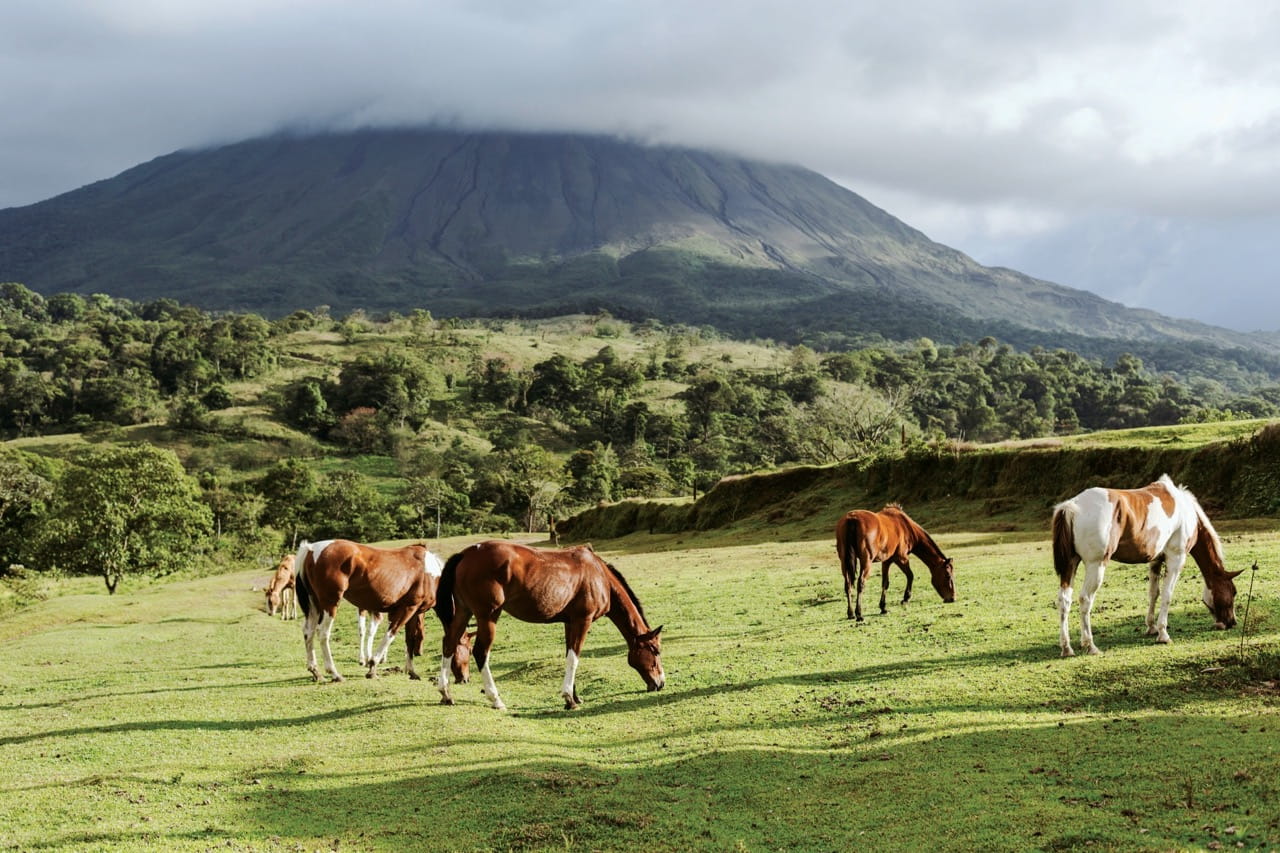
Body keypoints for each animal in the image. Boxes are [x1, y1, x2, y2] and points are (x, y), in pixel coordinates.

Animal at [294, 539, 445, 683]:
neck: (429, 573)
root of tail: (310, 549)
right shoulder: (408, 608)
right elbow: (390, 634)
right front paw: (372, 666)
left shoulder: (414, 613)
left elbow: (409, 640)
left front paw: (411, 671)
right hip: (330, 605)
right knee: (323, 633)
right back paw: (335, 674)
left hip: (315, 606)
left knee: (308, 632)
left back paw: (316, 672)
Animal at [433, 540, 664, 710]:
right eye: (655, 650)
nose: (660, 683)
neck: (599, 576)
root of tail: (467, 553)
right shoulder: (583, 621)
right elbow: (574, 658)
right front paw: (569, 698)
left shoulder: (570, 623)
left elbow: (570, 656)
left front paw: (574, 697)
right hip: (488, 616)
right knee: (481, 652)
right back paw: (496, 699)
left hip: (464, 612)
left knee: (449, 644)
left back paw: (446, 693)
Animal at [1053, 474, 1241, 657]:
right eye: (1233, 592)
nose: (1231, 622)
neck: (1187, 511)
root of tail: (1071, 506)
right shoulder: (1176, 558)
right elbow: (1167, 595)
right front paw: (1163, 634)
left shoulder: (1156, 560)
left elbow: (1154, 593)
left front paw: (1151, 627)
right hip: (1096, 566)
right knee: (1085, 599)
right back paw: (1090, 645)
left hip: (1070, 565)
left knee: (1064, 600)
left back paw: (1067, 648)